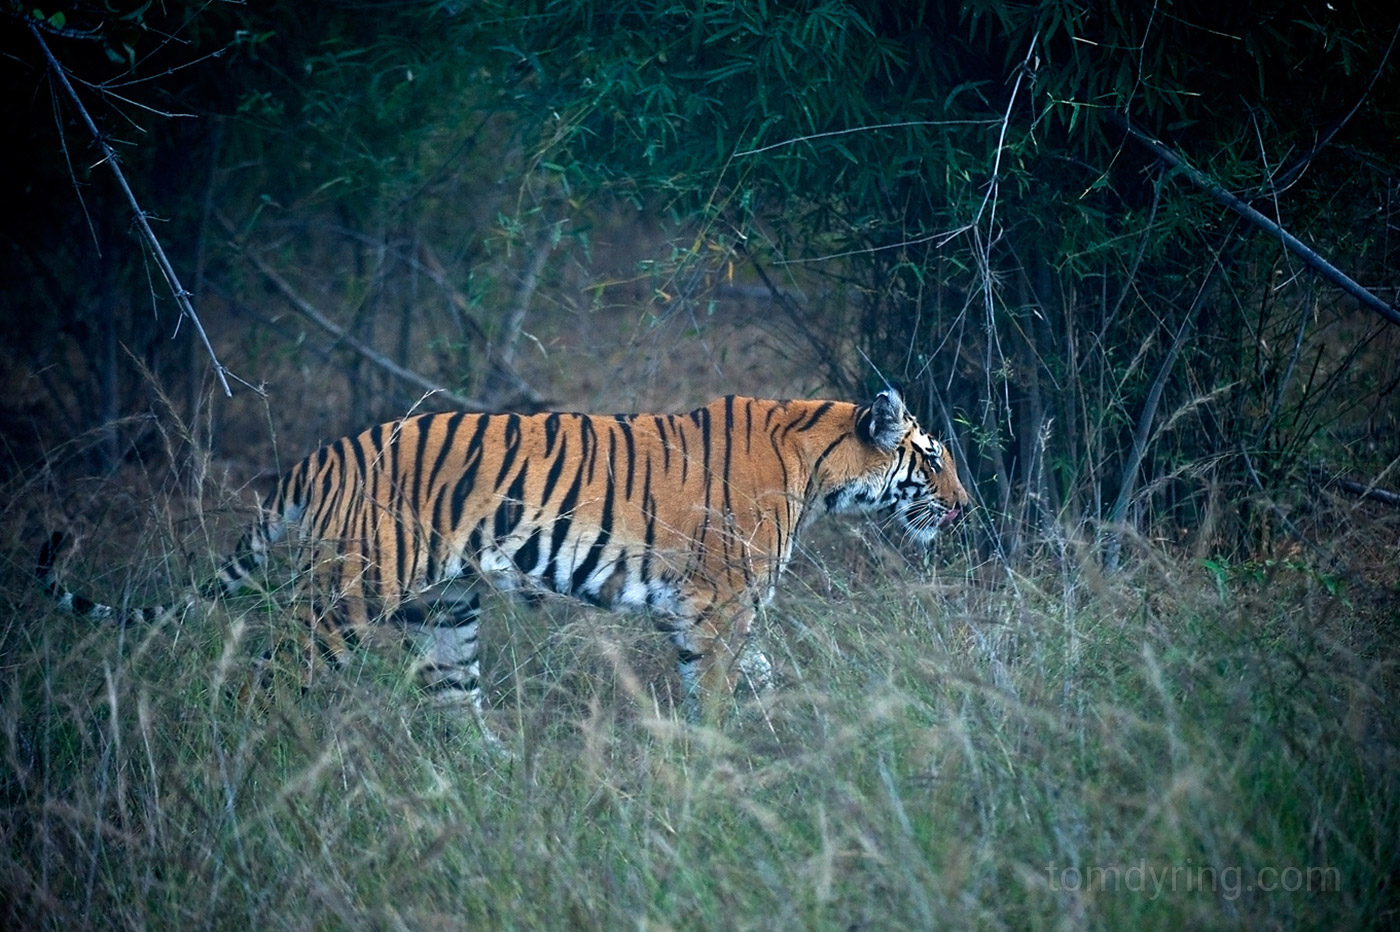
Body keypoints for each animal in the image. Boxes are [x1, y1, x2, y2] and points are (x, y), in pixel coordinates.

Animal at [37, 390, 969, 723]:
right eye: (933, 458)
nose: (967, 507)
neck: (820, 465)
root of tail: (323, 455)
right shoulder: (718, 605)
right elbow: (716, 690)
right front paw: (719, 760)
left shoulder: (719, 612)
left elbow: (765, 675)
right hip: (342, 598)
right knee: (263, 679)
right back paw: (257, 766)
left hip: (446, 609)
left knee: (456, 706)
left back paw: (486, 786)